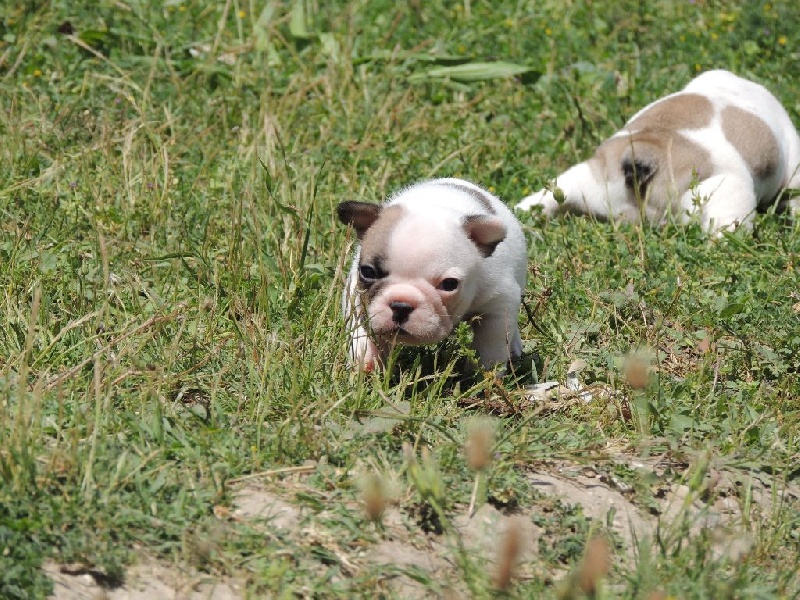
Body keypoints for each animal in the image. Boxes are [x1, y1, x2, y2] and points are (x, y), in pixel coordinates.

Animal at [336, 177, 528, 370]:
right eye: (368, 272)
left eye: (449, 284)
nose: (401, 305)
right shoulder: (356, 293)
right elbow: (360, 327)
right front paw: (366, 361)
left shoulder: (498, 305)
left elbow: (490, 345)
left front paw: (483, 373)